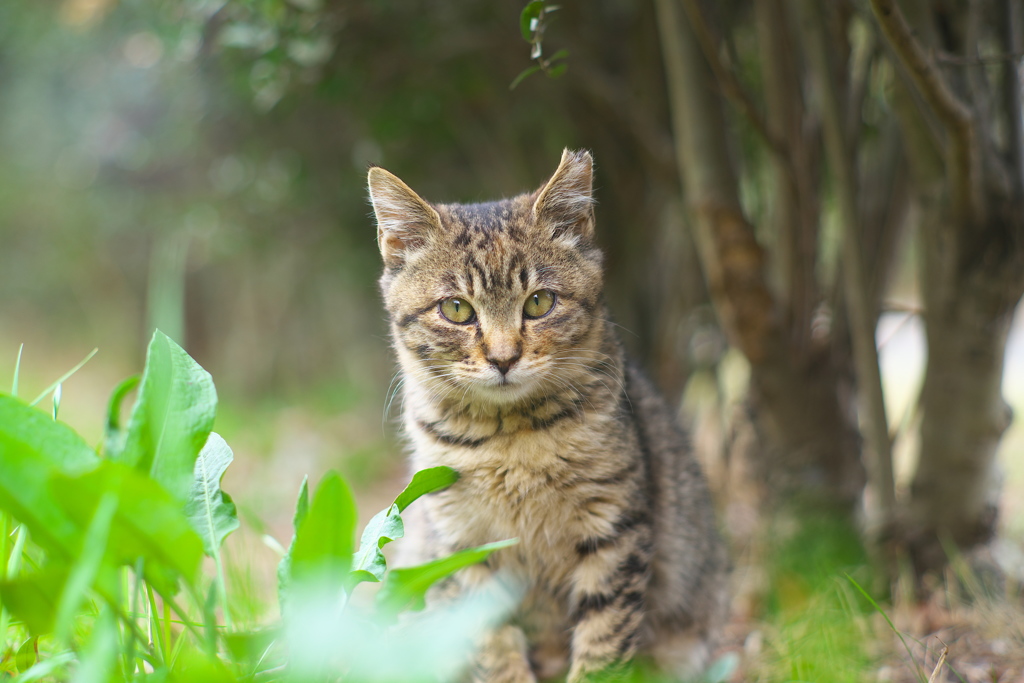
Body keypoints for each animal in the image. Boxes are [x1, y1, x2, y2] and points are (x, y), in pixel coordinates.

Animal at [368, 150, 729, 683]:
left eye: (539, 302)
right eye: (456, 309)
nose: (503, 358)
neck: (510, 439)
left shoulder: (614, 528)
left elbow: (603, 639)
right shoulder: (463, 542)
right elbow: (492, 642)